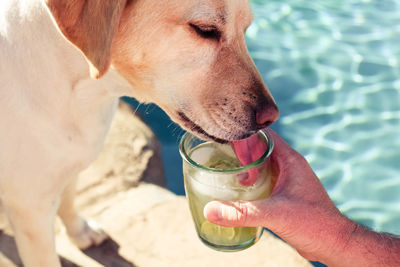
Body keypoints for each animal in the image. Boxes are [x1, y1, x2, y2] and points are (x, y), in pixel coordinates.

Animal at [0, 0, 278, 267]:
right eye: (205, 30)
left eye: (245, 30)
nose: (271, 117)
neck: (82, 91)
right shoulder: (31, 212)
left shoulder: (72, 164)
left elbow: (68, 200)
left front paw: (80, 233)